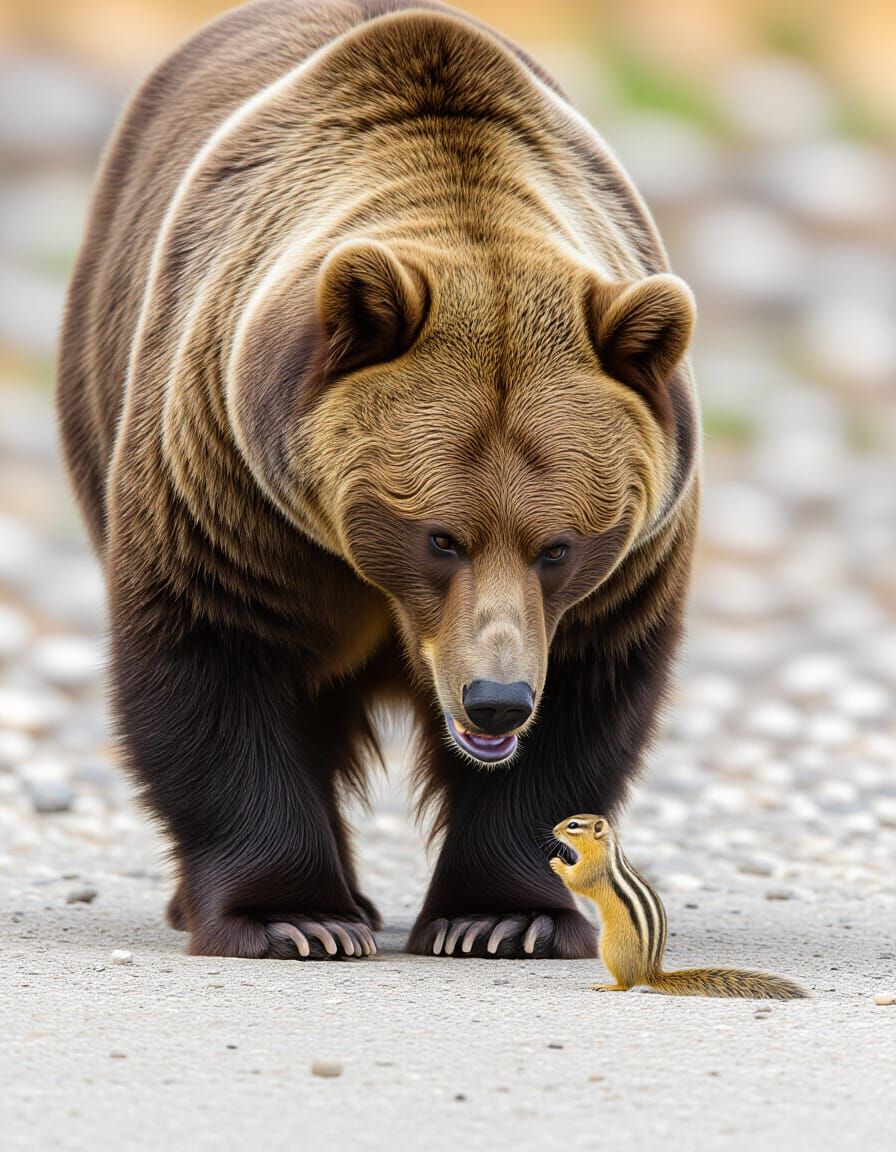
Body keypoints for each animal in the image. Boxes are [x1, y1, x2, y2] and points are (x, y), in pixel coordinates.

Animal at [56, 0, 700, 960]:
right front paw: (294, 916)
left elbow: (587, 699)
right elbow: (214, 657)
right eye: (441, 536)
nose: (496, 700)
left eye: (558, 546)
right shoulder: (232, 495)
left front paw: (502, 917)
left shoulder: (624, 571)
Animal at [549, 814, 808, 999]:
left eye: (573, 825)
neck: (606, 848)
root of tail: (650, 971)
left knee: (627, 984)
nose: (553, 830)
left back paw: (608, 985)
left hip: (610, 948)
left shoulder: (594, 868)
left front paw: (557, 863)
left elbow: (577, 882)